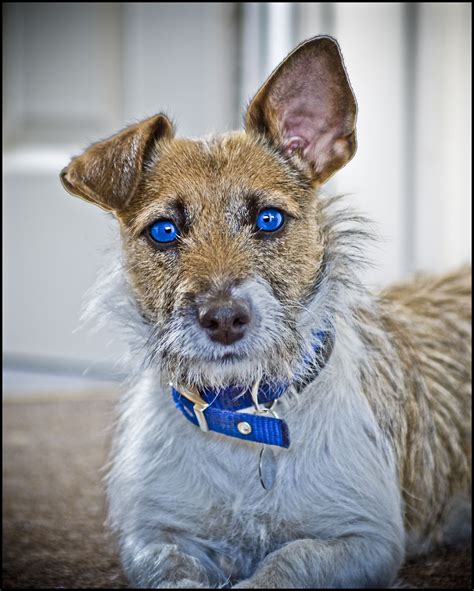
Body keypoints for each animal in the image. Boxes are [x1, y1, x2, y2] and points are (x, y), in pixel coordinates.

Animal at [60, 35, 470, 588]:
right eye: (164, 230)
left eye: (269, 219)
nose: (223, 319)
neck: (246, 417)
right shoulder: (155, 535)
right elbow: (175, 572)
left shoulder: (364, 540)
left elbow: (288, 561)